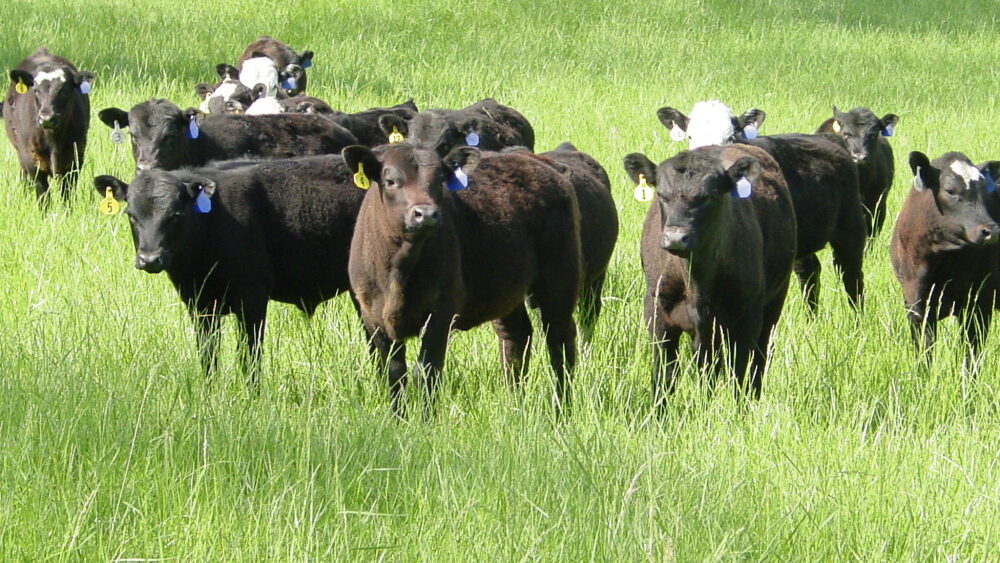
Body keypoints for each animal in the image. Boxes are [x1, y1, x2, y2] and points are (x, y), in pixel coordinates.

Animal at [3, 47, 95, 201]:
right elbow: (43, 196)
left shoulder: (75, 159)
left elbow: (66, 194)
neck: (54, 140)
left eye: (64, 90)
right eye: (36, 90)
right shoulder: (32, 161)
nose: (46, 118)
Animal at [93, 154, 366, 384]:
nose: (149, 259)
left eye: (175, 215)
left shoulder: (252, 298)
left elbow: (249, 357)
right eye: (131, 215)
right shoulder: (199, 304)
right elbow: (208, 356)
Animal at [343, 142, 581, 416]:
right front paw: (397, 419)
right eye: (390, 181)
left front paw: (425, 420)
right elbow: (393, 373)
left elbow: (426, 370)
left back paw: (561, 408)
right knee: (516, 335)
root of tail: (539, 163)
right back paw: (515, 404)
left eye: (440, 180)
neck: (398, 272)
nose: (426, 214)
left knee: (560, 340)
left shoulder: (441, 312)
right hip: (505, 288)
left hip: (559, 280)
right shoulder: (372, 316)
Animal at [624, 144, 797, 406]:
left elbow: (739, 373)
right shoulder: (656, 312)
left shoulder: (747, 317)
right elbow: (665, 374)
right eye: (662, 195)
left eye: (709, 196)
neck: (696, 282)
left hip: (774, 303)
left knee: (760, 357)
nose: (676, 237)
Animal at [890, 151, 1000, 370]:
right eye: (950, 190)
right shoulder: (915, 304)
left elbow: (971, 355)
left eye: (986, 191)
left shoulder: (979, 303)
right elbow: (924, 352)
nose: (991, 231)